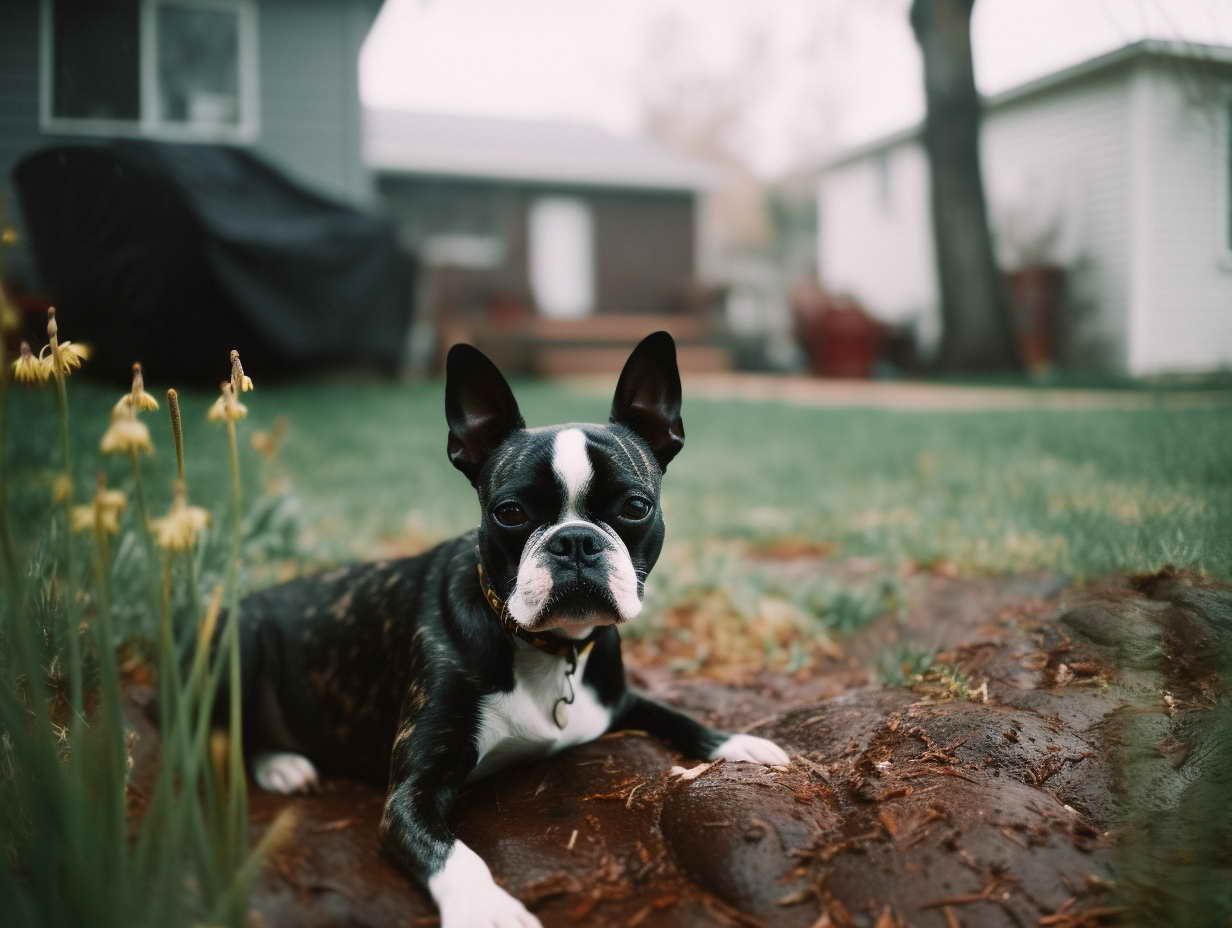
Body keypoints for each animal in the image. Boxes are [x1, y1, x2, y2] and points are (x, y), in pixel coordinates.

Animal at [226, 335, 788, 926]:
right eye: (511, 513)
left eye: (635, 507)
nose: (575, 540)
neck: (549, 648)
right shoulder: (411, 795)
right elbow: (453, 853)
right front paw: (485, 906)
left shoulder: (618, 698)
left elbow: (676, 715)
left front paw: (739, 743)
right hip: (240, 641)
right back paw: (283, 764)